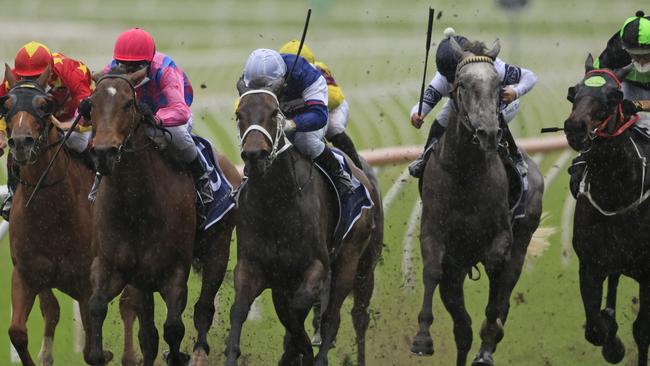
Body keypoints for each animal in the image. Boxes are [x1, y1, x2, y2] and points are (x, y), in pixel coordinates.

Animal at [0, 64, 140, 364]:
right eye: (6, 105)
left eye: (44, 105)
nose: (21, 142)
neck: (51, 212)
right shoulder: (26, 274)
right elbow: (18, 332)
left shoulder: (87, 284)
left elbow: (92, 351)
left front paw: (107, 352)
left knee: (129, 306)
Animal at [84, 66, 238, 366]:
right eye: (92, 104)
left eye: (128, 104)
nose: (104, 152)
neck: (135, 204)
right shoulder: (113, 266)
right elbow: (97, 306)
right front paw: (99, 353)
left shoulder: (175, 270)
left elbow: (174, 327)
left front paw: (179, 354)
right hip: (143, 280)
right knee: (149, 333)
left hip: (218, 247)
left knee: (204, 307)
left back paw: (199, 352)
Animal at [225, 78, 382, 364]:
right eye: (239, 114)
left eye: (274, 113)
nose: (254, 155)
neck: (275, 203)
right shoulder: (254, 267)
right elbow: (240, 310)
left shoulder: (316, 267)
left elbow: (296, 313)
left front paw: (304, 351)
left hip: (357, 263)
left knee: (344, 316)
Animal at [410, 38, 540, 364]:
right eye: (463, 84)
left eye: (497, 84)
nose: (488, 132)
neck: (464, 171)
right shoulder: (434, 234)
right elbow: (432, 270)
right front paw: (422, 338)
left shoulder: (502, 236)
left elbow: (496, 270)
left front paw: (491, 331)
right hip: (455, 274)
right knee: (463, 328)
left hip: (523, 236)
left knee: (505, 285)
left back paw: (488, 343)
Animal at [560, 55, 648, 366]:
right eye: (573, 92)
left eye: (614, 96)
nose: (576, 127)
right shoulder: (591, 265)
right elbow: (595, 328)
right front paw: (613, 344)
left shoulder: (649, 275)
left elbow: (641, 330)